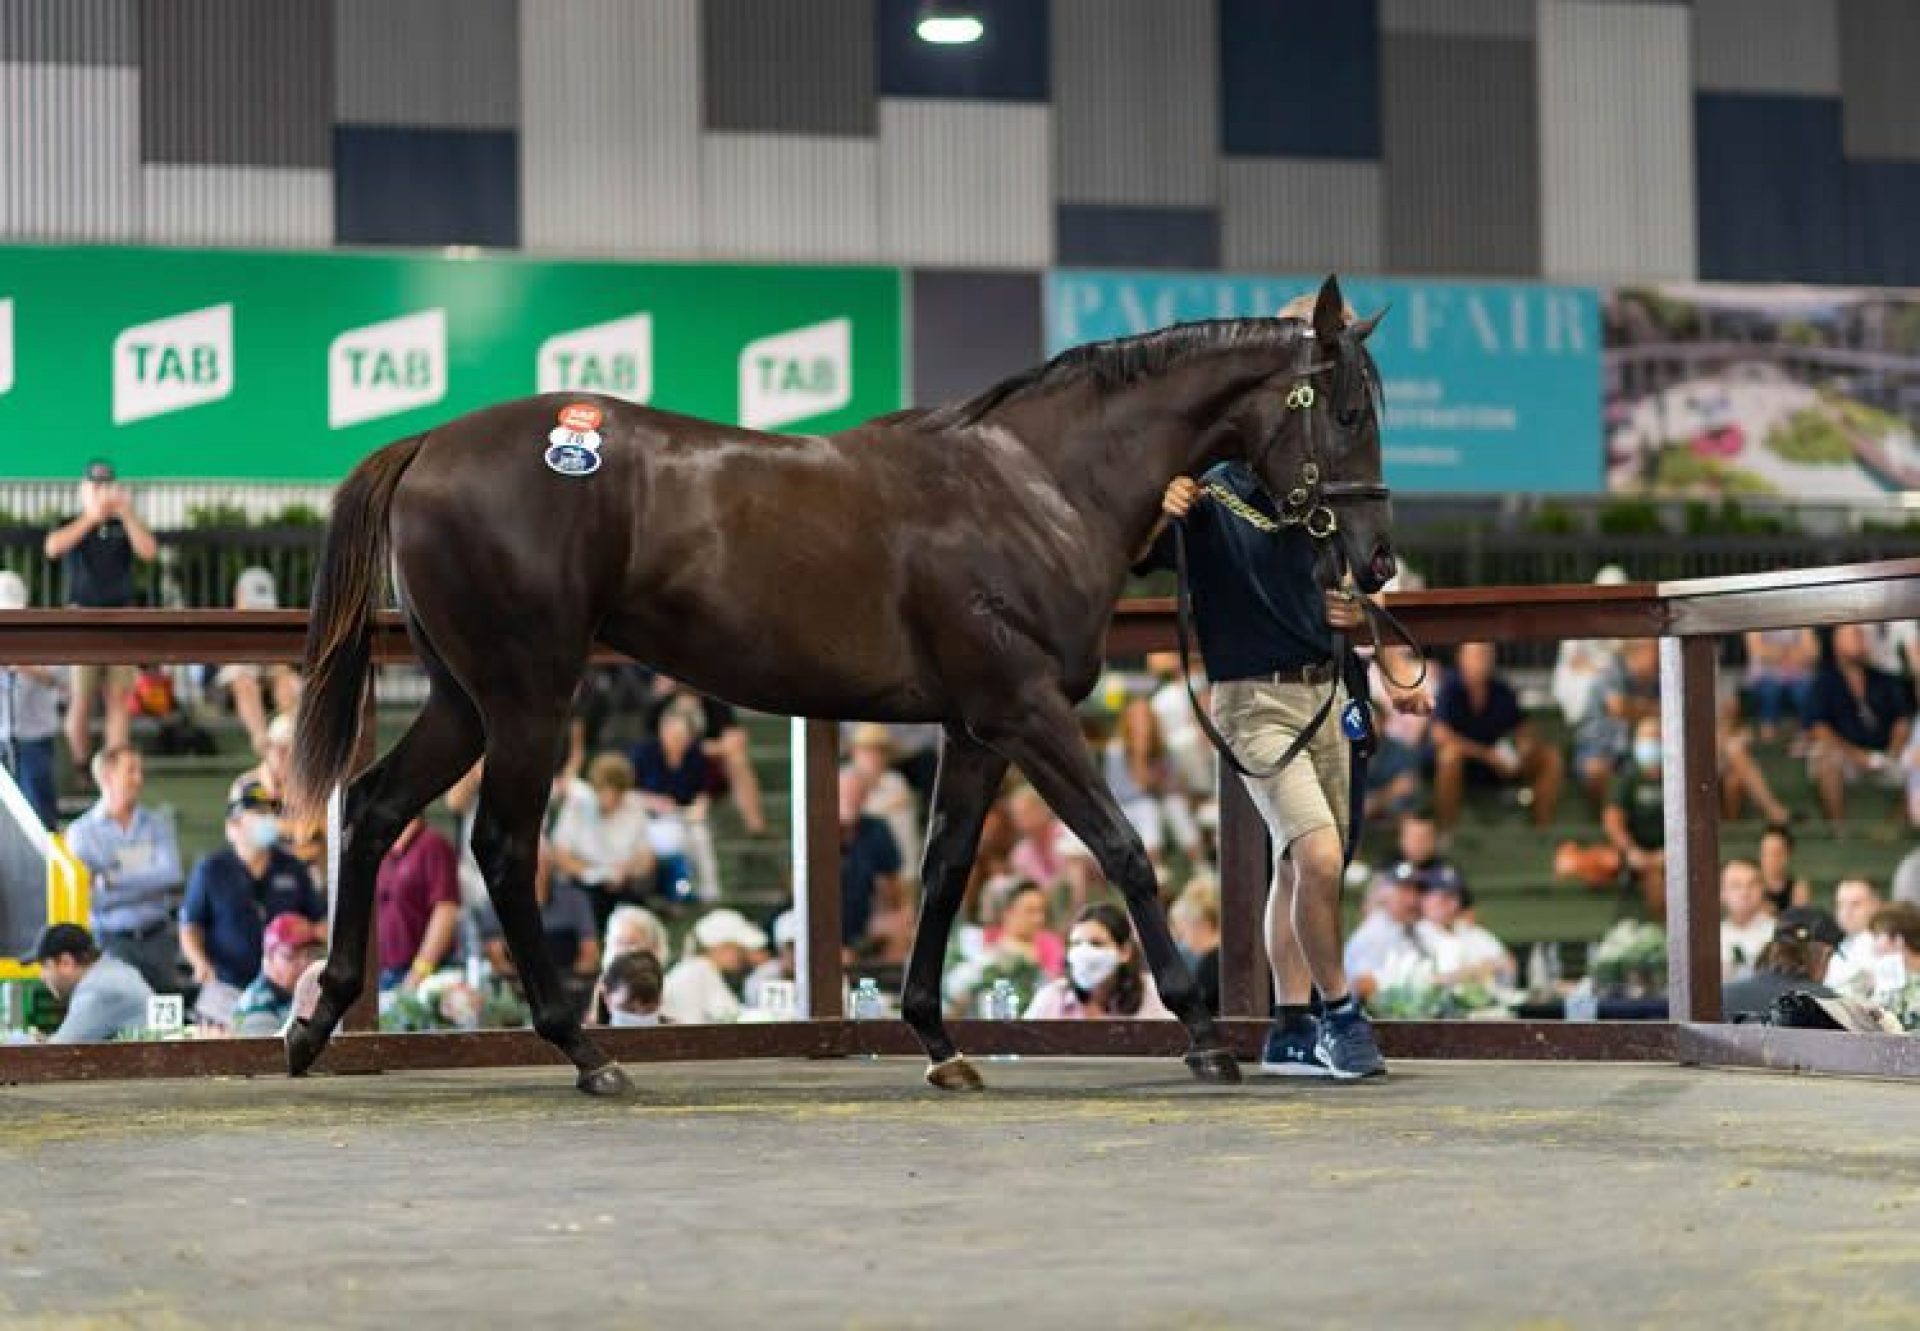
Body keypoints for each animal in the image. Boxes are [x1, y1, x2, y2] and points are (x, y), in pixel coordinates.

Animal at [288, 272, 1397, 1090]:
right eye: (1347, 410)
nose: (1377, 561)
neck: (1036, 484)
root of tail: (427, 442)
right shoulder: (1026, 710)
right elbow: (1124, 850)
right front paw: (1204, 1030)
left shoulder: (976, 728)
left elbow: (945, 867)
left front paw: (938, 1039)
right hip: (528, 698)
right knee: (504, 848)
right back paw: (586, 1050)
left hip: (463, 699)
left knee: (373, 807)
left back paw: (316, 1018)